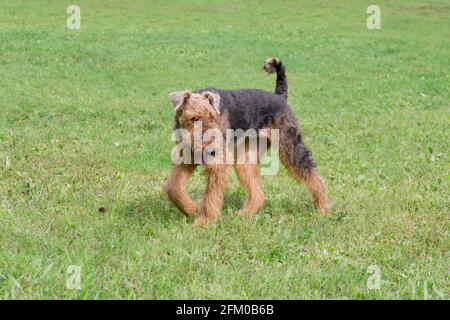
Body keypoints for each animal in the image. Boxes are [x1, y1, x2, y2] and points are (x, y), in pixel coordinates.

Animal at [163, 57, 328, 225]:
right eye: (194, 118)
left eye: (213, 117)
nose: (213, 151)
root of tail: (279, 96)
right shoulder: (186, 158)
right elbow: (173, 187)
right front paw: (191, 209)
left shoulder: (220, 165)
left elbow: (210, 196)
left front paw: (204, 222)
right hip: (245, 158)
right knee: (258, 193)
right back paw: (244, 214)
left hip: (290, 147)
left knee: (315, 178)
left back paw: (323, 210)